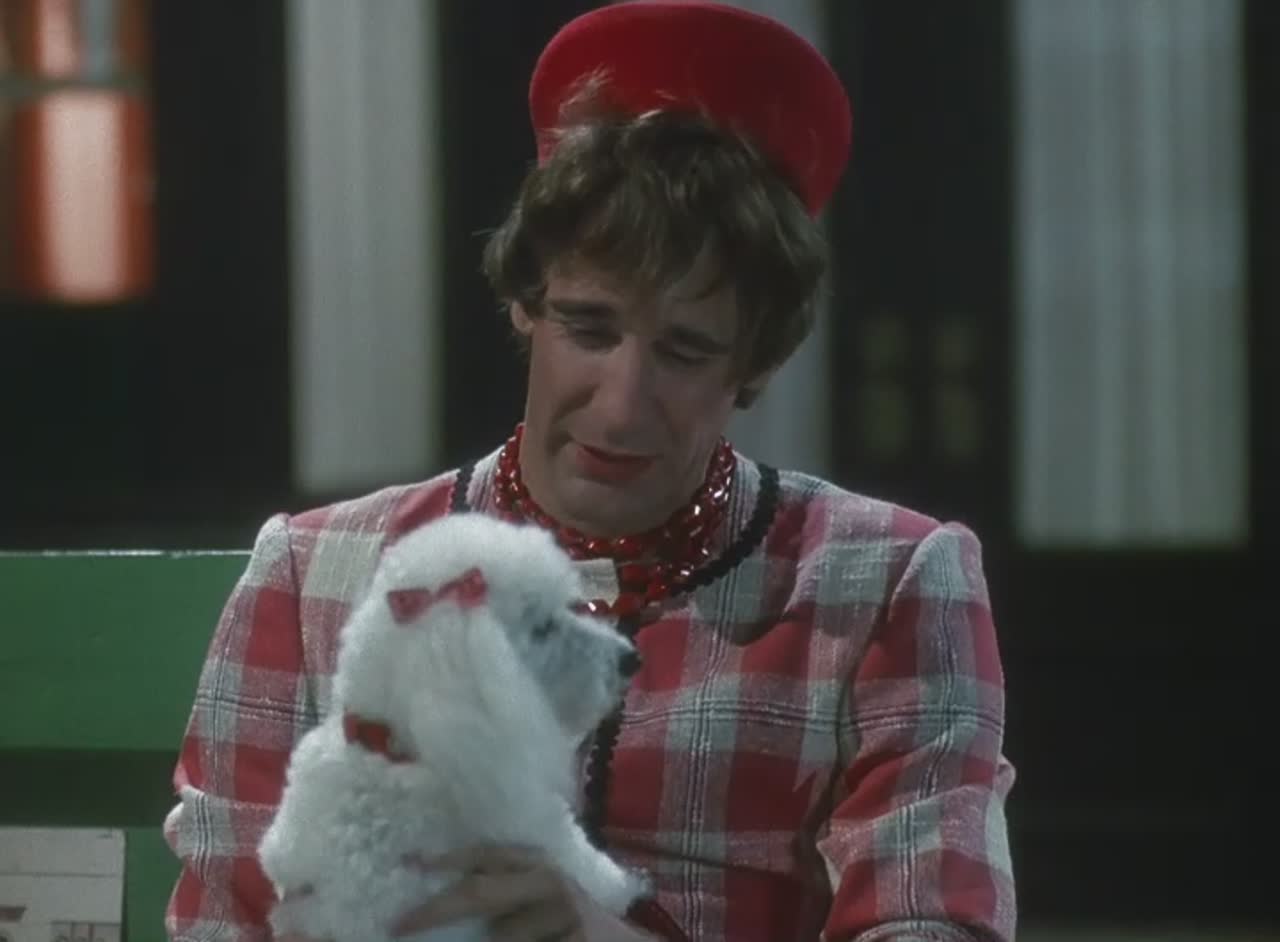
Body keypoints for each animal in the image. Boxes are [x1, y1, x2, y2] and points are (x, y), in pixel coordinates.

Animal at [257, 513, 651, 941]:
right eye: (543, 627)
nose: (631, 659)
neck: (391, 748)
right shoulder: (531, 827)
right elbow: (581, 859)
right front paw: (624, 887)